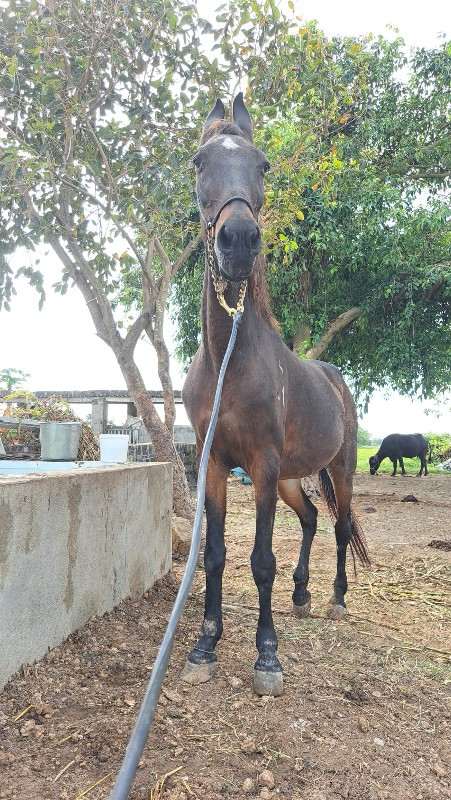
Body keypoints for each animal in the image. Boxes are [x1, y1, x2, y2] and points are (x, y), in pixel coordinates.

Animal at [181, 92, 370, 692]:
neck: (229, 362)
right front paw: (205, 645)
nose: (238, 242)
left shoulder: (262, 465)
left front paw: (267, 655)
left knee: (338, 527)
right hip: (291, 478)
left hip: (338, 470)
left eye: (262, 165)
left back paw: (335, 598)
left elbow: (260, 559)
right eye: (199, 162)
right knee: (309, 519)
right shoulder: (218, 464)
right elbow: (216, 553)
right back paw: (302, 593)